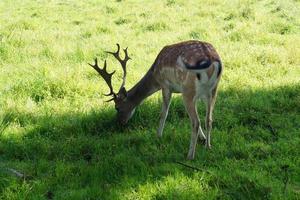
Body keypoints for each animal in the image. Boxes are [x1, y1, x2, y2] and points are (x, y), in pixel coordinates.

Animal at [88, 40, 221, 159]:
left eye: (117, 107)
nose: (120, 122)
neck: (155, 75)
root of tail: (212, 60)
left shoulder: (166, 86)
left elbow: (163, 114)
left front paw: (158, 136)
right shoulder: (193, 94)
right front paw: (203, 138)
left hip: (188, 88)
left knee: (196, 122)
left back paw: (190, 155)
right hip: (212, 90)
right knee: (208, 119)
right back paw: (208, 147)